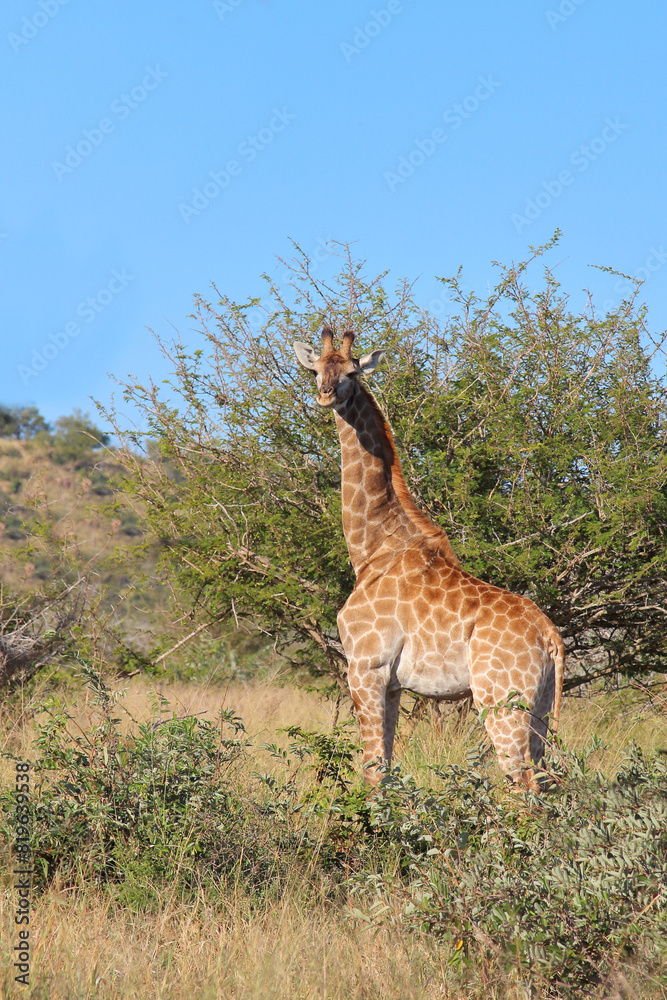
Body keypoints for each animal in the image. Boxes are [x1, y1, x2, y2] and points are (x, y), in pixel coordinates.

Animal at [293, 327, 565, 790]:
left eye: (351, 373)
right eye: (315, 370)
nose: (326, 394)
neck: (372, 548)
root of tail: (551, 637)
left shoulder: (365, 666)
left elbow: (371, 770)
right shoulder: (392, 684)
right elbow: (385, 767)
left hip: (500, 701)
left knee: (522, 783)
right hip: (541, 706)